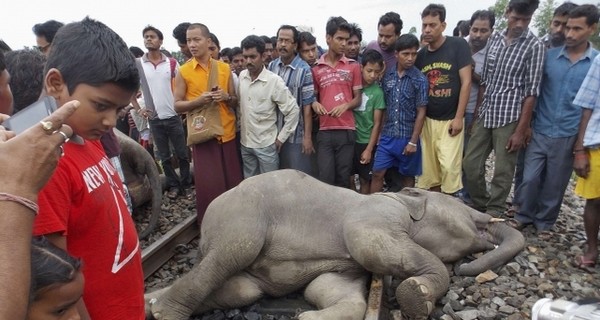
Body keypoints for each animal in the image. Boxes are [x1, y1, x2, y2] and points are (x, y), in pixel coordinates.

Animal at [146, 169, 524, 318]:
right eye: (469, 214)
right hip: (242, 216)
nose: (468, 265)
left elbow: (331, 290)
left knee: (241, 289)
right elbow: (368, 245)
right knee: (231, 255)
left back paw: (151, 303)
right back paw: (164, 312)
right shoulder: (374, 215)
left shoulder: (350, 269)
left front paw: (306, 315)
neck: (400, 196)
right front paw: (417, 297)